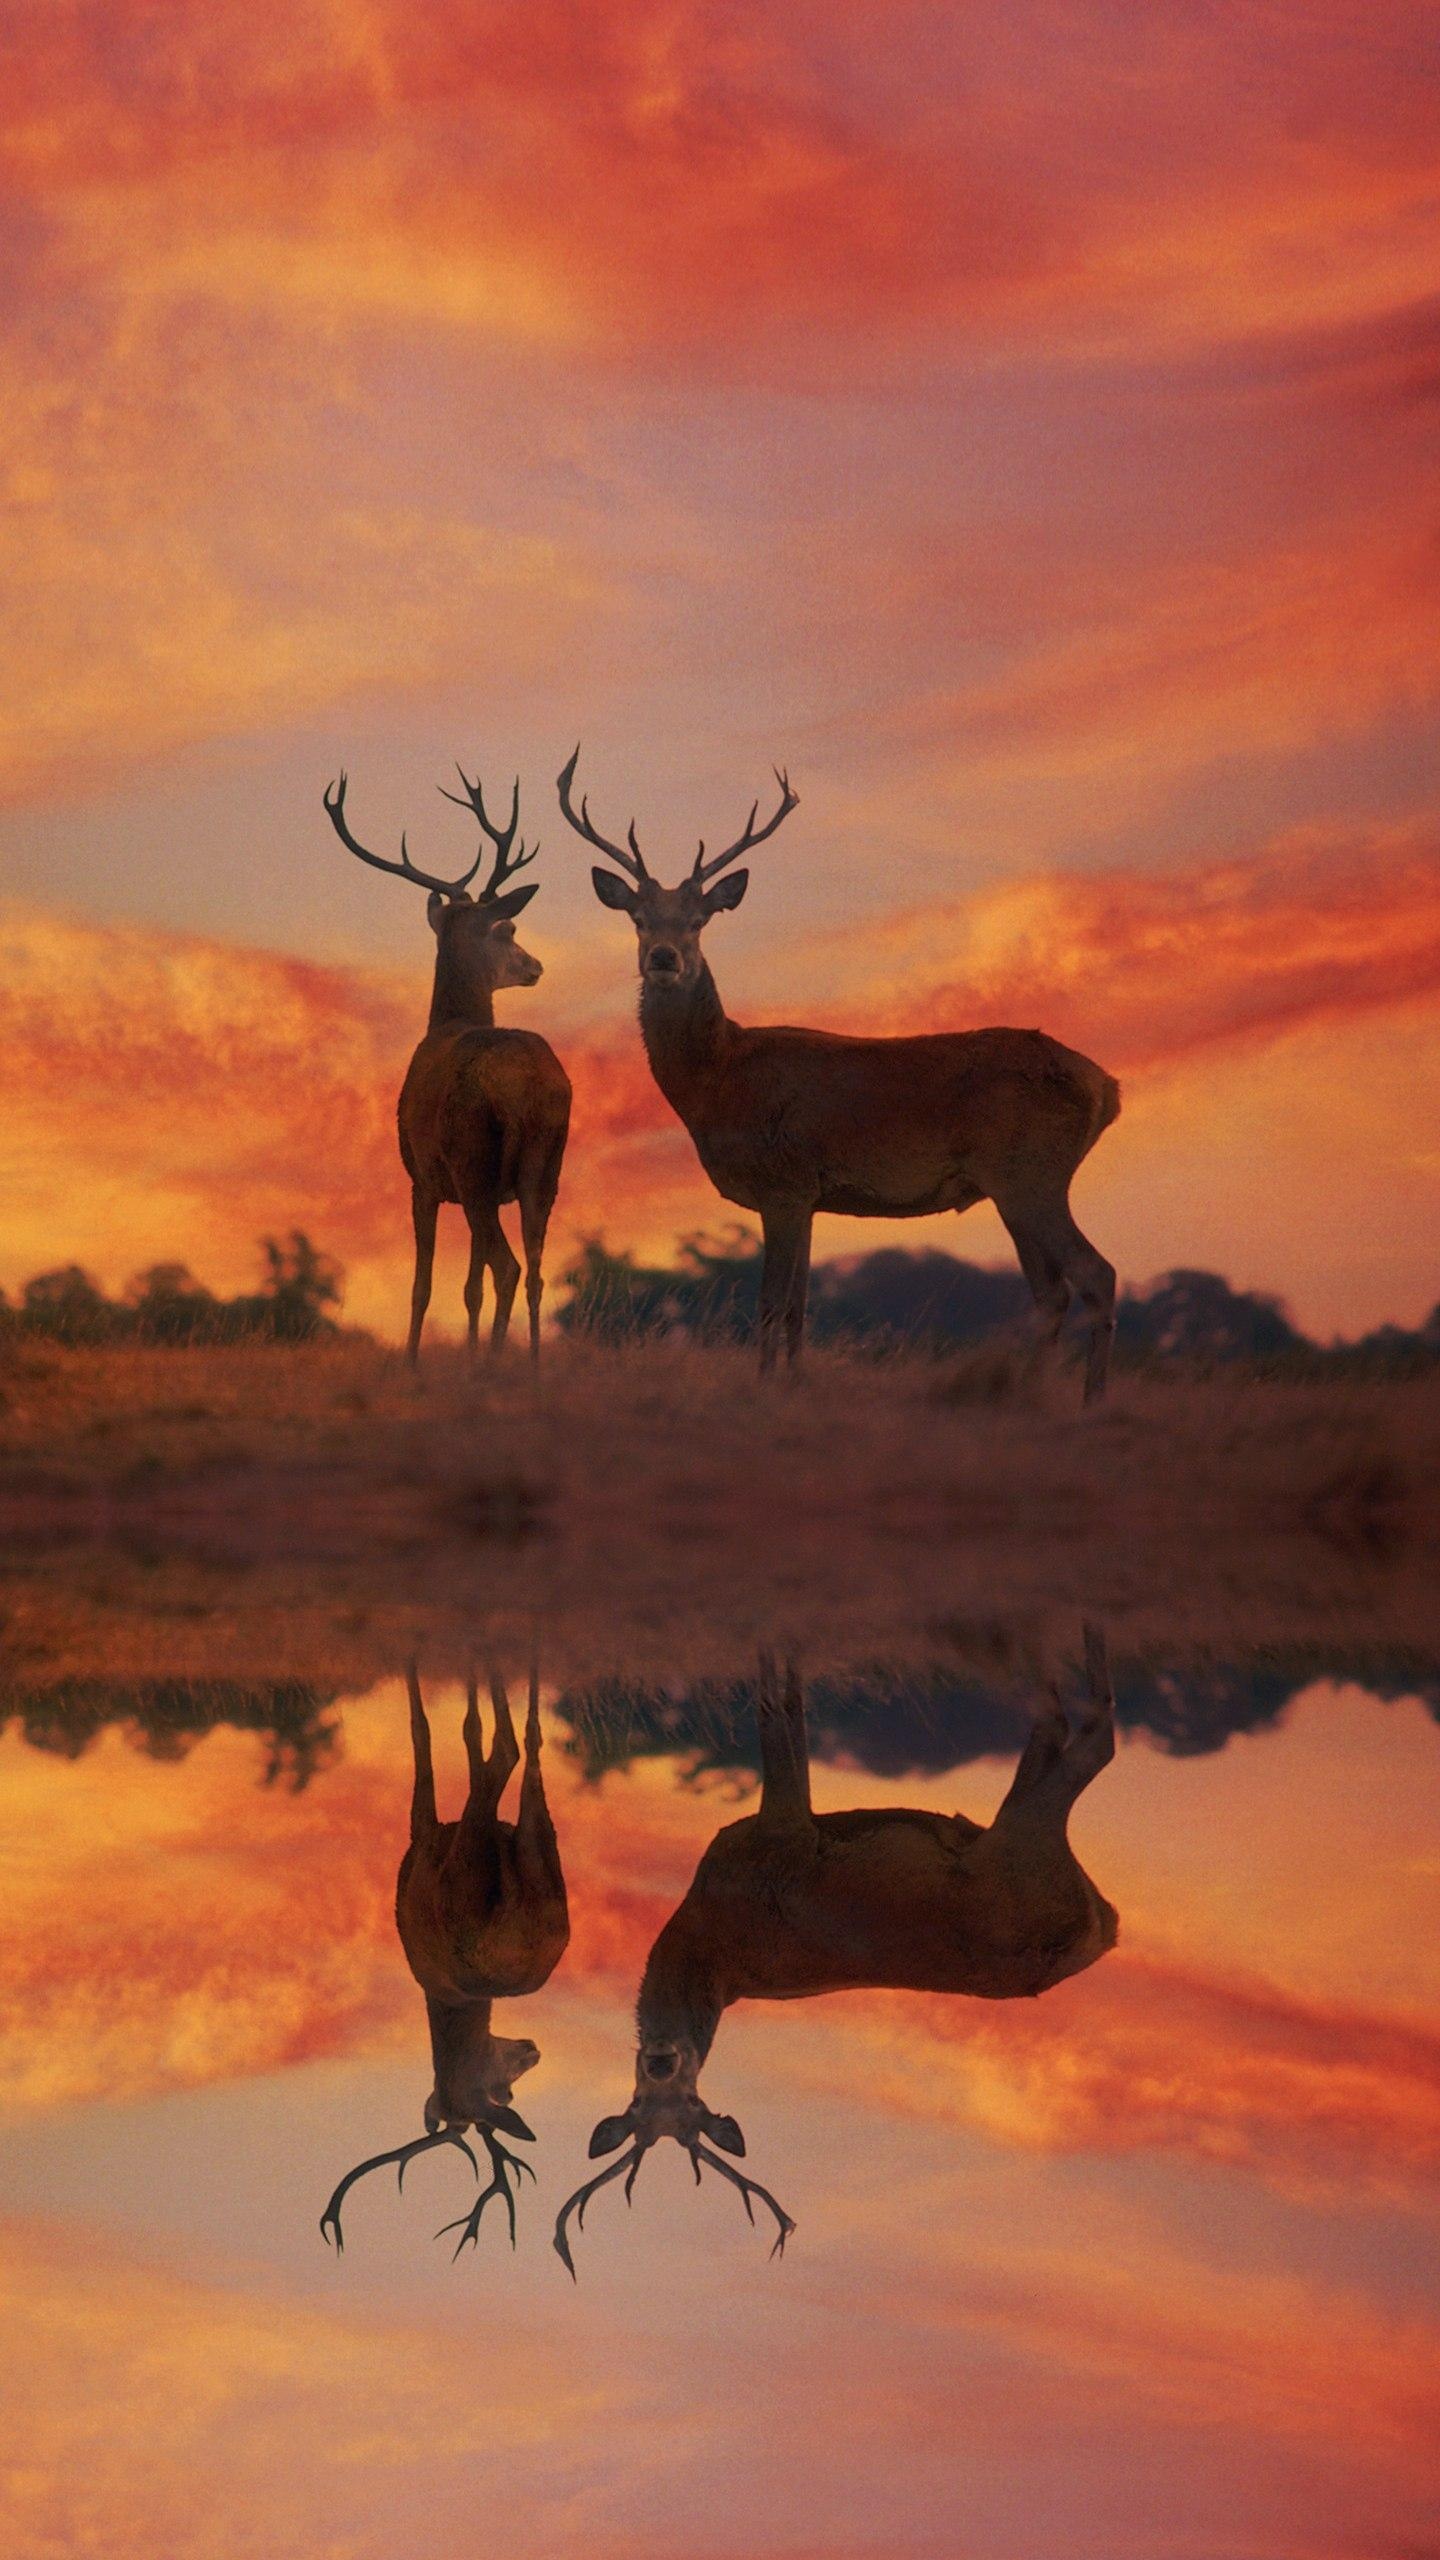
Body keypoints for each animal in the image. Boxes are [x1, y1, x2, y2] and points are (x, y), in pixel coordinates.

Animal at [321, 1661, 569, 2259]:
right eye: (503, 2089)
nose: (530, 2048)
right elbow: (442, 1734)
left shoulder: (427, 1835)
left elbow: (427, 1735)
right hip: (536, 1858)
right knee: (511, 1748)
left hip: (513, 1847)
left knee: (507, 1747)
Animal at [324, 763, 571, 1364]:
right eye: (508, 931)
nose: (535, 966)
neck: (445, 1024)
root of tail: (526, 1089)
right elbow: (469, 1284)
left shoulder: (422, 1177)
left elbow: (425, 1284)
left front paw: (413, 1362)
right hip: (545, 1166)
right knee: (533, 1271)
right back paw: (529, 1364)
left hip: (472, 1161)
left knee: (509, 1267)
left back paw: (490, 1367)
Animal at [553, 1632, 1117, 2273]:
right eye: (649, 2102)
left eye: (687, 2096)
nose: (661, 2058)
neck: (706, 1931)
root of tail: (1104, 1926)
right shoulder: (783, 1835)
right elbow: (782, 1716)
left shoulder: (784, 1834)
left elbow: (778, 1712)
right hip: (1017, 1844)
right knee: (1076, 1730)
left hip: (1017, 1846)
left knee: (1089, 1731)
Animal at [557, 750, 1120, 1398]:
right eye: (638, 918)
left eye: (700, 919)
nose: (664, 958)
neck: (716, 1084)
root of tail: (1108, 1087)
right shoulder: (808, 1195)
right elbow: (799, 1305)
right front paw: (794, 1380)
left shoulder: (782, 1181)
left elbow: (770, 1302)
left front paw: (765, 1385)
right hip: (1017, 1184)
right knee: (1051, 1292)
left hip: (1030, 1172)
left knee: (1096, 1275)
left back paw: (1090, 1399)